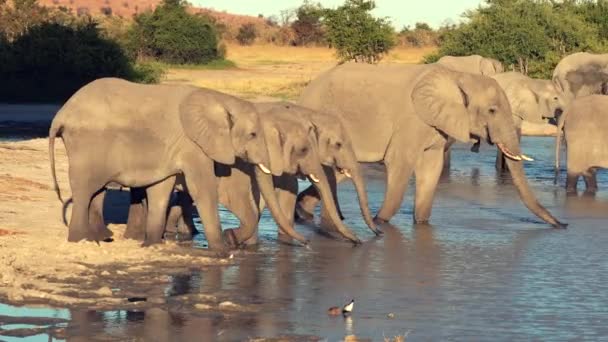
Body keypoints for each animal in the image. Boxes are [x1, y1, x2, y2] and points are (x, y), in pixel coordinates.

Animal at [50, 77, 278, 250]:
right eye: (253, 134)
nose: (232, 236)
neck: (221, 99)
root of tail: (61, 114)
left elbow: (161, 188)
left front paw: (152, 244)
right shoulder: (192, 144)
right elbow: (201, 187)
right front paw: (222, 252)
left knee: (96, 190)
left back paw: (100, 237)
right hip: (87, 144)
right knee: (85, 189)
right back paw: (81, 240)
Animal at [296, 62, 568, 228]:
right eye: (492, 110)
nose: (564, 224)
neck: (459, 78)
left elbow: (431, 168)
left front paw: (421, 223)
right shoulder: (411, 121)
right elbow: (400, 164)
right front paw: (380, 221)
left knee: (336, 175)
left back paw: (304, 212)